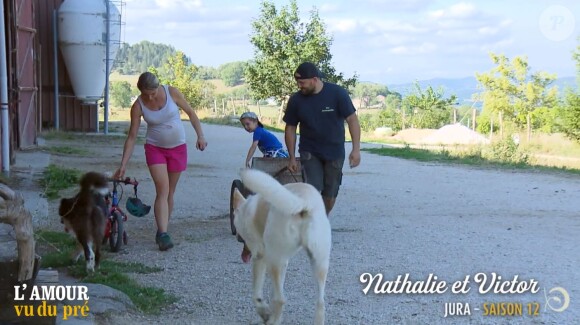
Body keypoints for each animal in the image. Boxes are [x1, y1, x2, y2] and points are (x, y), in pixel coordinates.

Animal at [231, 168, 330, 322]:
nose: (237, 237)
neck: (246, 209)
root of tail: (304, 203)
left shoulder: (260, 257)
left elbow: (257, 294)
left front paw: (264, 311)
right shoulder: (283, 263)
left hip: (274, 261)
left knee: (281, 299)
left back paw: (272, 320)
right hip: (319, 263)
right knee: (320, 303)